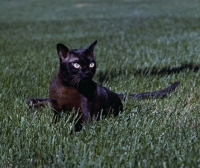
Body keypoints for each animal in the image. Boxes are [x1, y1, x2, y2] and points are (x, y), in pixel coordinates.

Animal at [27, 40, 180, 131]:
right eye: (76, 64)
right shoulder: (57, 110)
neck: (67, 87)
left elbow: (76, 126)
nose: (87, 72)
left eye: (91, 64)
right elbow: (55, 121)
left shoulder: (84, 115)